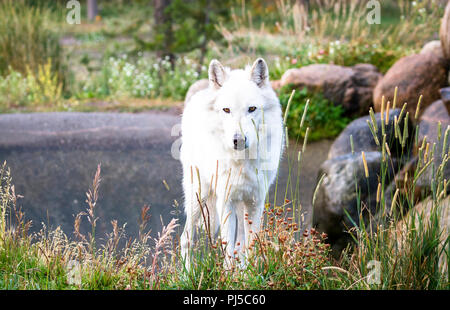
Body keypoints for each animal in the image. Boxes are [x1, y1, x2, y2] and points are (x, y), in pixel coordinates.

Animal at [179, 58, 284, 268]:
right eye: (226, 110)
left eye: (251, 109)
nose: (239, 140)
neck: (241, 163)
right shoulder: (225, 202)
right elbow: (228, 249)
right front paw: (230, 273)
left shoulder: (255, 202)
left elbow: (249, 246)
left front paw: (250, 273)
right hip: (198, 196)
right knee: (186, 238)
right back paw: (186, 273)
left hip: (238, 205)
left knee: (240, 243)